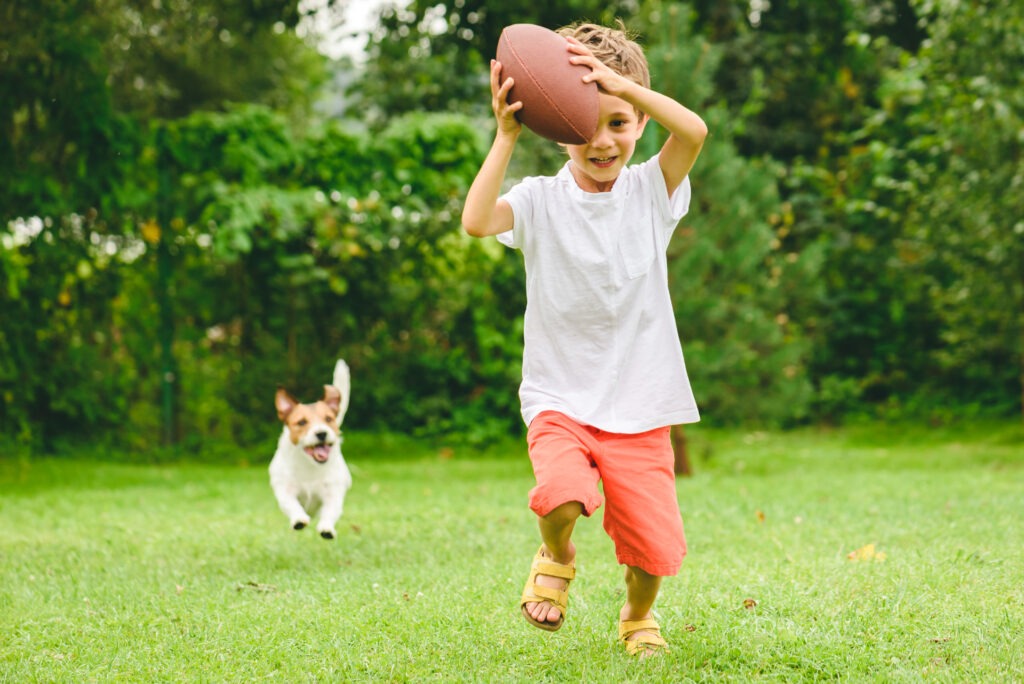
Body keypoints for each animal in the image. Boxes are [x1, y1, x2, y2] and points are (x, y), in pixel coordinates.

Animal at [270, 358, 354, 540]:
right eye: (302, 422)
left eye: (328, 419)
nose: (321, 433)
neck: (310, 466)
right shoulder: (285, 489)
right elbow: (291, 504)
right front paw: (299, 519)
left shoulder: (333, 493)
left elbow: (330, 510)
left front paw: (326, 528)